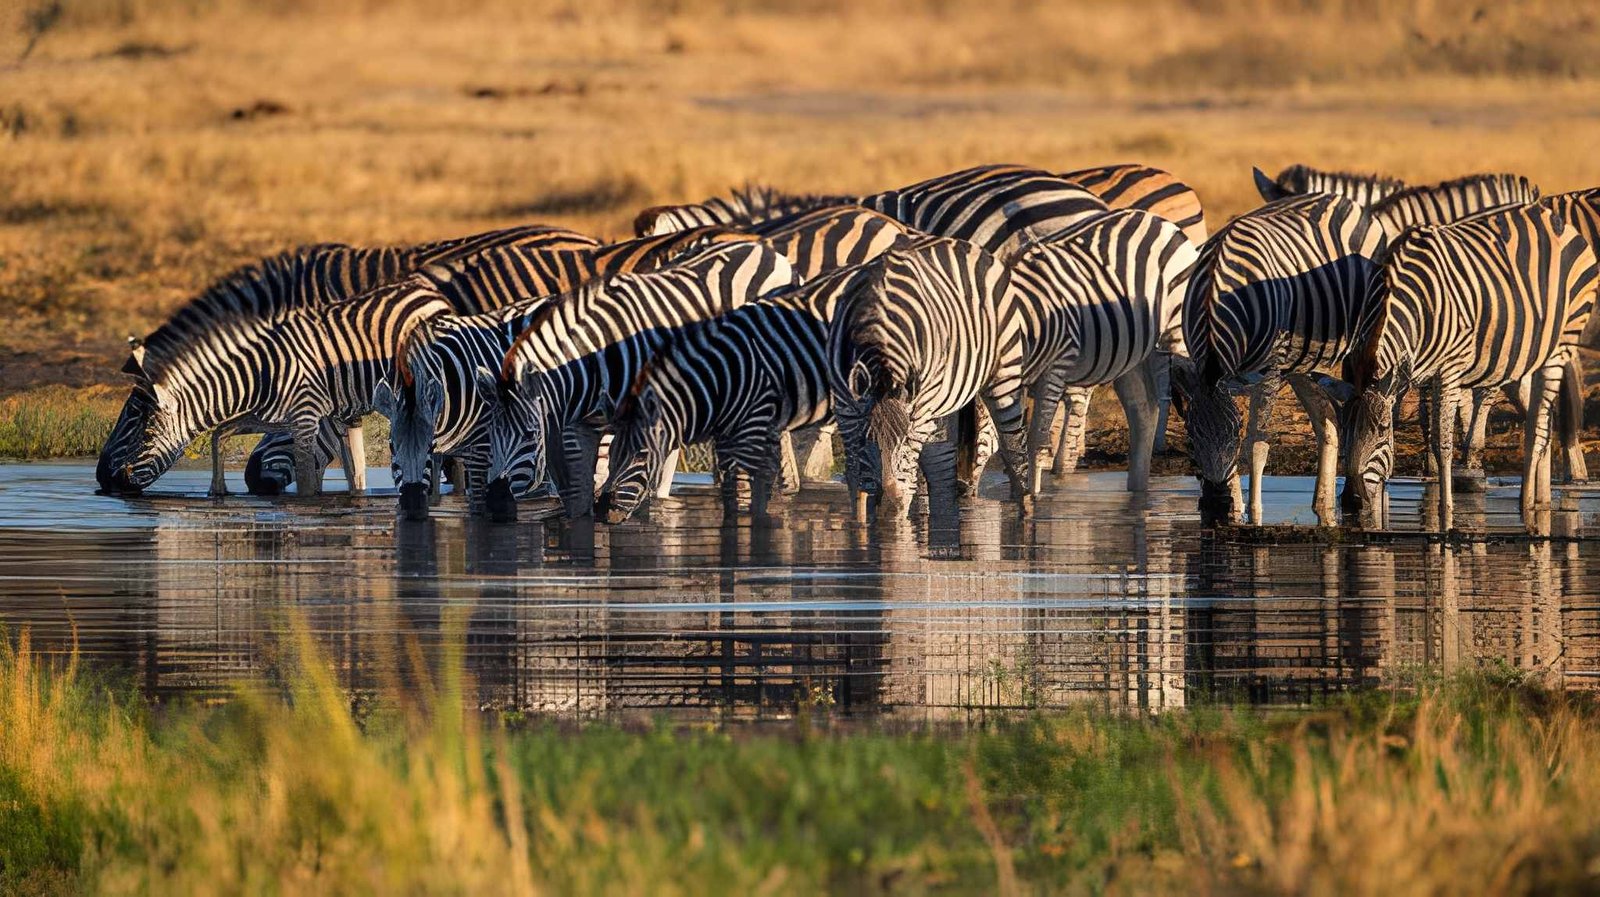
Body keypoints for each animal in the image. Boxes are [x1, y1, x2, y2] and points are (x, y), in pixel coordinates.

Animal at [481, 240, 799, 519]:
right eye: (491, 434)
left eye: (530, 435)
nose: (496, 502)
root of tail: (764, 249)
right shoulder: (581, 430)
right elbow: (584, 500)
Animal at [1007, 209, 1198, 494]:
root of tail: (1156, 219)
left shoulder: (1052, 370)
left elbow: (1033, 441)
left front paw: (1031, 499)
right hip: (1130, 356)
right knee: (1144, 410)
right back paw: (1137, 491)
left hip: (1181, 334)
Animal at [1173, 192, 1387, 527]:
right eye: (1189, 442)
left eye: (1234, 437)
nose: (1216, 507)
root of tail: (1340, 198)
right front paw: (1235, 507)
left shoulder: (1269, 374)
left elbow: (1256, 445)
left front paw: (1253, 514)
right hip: (1302, 361)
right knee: (1327, 420)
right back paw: (1324, 505)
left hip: (1360, 338)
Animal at [1341, 203, 1598, 532]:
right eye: (1344, 425)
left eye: (1384, 429)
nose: (1351, 502)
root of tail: (1555, 220)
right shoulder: (1415, 373)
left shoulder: (1448, 370)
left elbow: (1442, 442)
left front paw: (1446, 511)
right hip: (1520, 358)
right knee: (1539, 418)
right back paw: (1540, 499)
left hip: (1560, 346)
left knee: (1539, 427)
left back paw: (1528, 505)